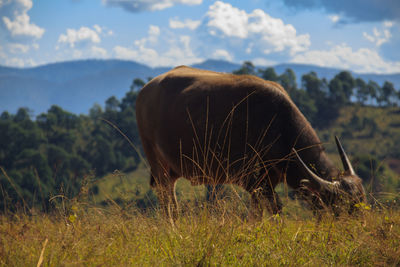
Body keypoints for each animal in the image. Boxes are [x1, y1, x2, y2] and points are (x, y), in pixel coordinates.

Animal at [136, 65, 368, 220]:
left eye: (361, 201)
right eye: (341, 209)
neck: (276, 123)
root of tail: (146, 90)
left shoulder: (265, 182)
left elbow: (256, 214)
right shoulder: (256, 182)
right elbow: (275, 210)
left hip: (172, 169)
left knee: (172, 200)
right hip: (156, 162)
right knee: (166, 201)